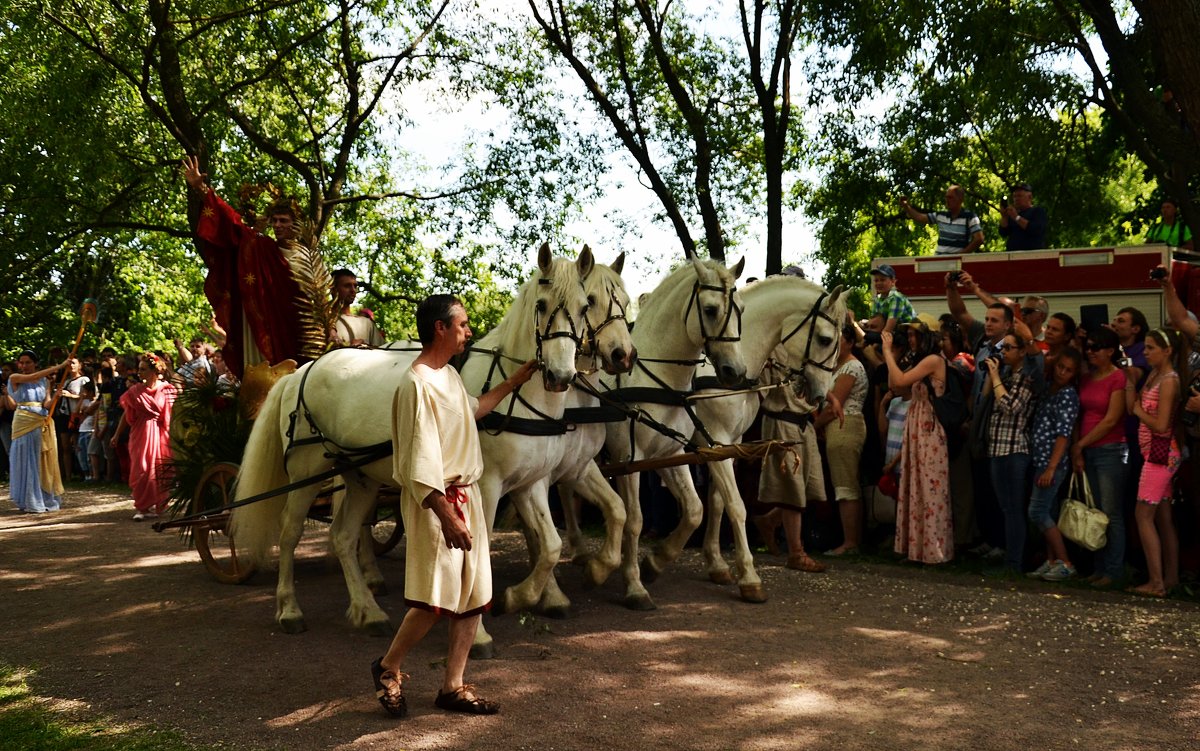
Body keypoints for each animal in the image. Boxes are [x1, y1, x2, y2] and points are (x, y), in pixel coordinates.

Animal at [226, 242, 592, 628]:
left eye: (585, 307)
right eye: (541, 304)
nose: (560, 376)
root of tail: (302, 370)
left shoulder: (529, 484)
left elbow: (550, 546)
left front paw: (521, 596)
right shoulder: (488, 484)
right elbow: (485, 548)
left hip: (361, 477)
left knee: (343, 536)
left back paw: (367, 609)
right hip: (305, 472)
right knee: (290, 531)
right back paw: (289, 608)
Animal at [556, 255, 744, 609]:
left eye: (740, 309)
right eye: (711, 309)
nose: (736, 372)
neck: (659, 378)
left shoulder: (670, 454)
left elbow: (695, 510)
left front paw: (656, 561)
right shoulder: (629, 458)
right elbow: (634, 520)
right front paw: (634, 585)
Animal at [691, 278, 849, 599]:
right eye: (825, 339)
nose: (821, 395)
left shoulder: (728, 444)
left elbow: (718, 501)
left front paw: (716, 563)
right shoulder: (712, 440)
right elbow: (735, 504)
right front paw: (748, 576)